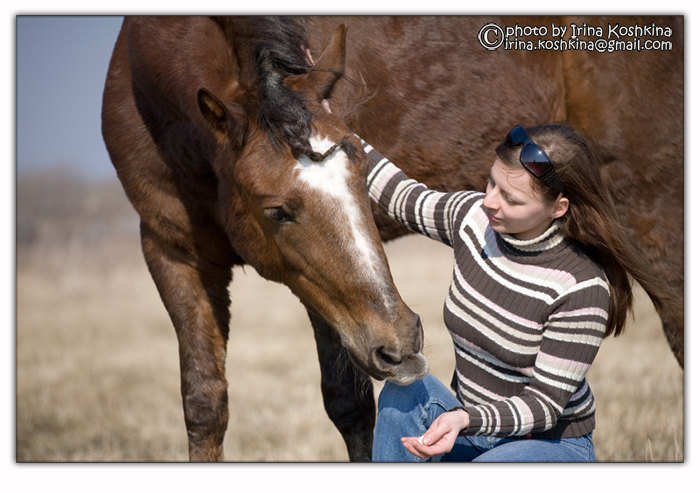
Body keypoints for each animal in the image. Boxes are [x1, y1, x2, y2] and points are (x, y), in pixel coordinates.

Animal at [104, 15, 684, 462]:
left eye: (363, 174)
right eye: (276, 211)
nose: (403, 340)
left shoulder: (323, 299)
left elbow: (349, 402)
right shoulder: (172, 253)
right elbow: (204, 403)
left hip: (650, 207)